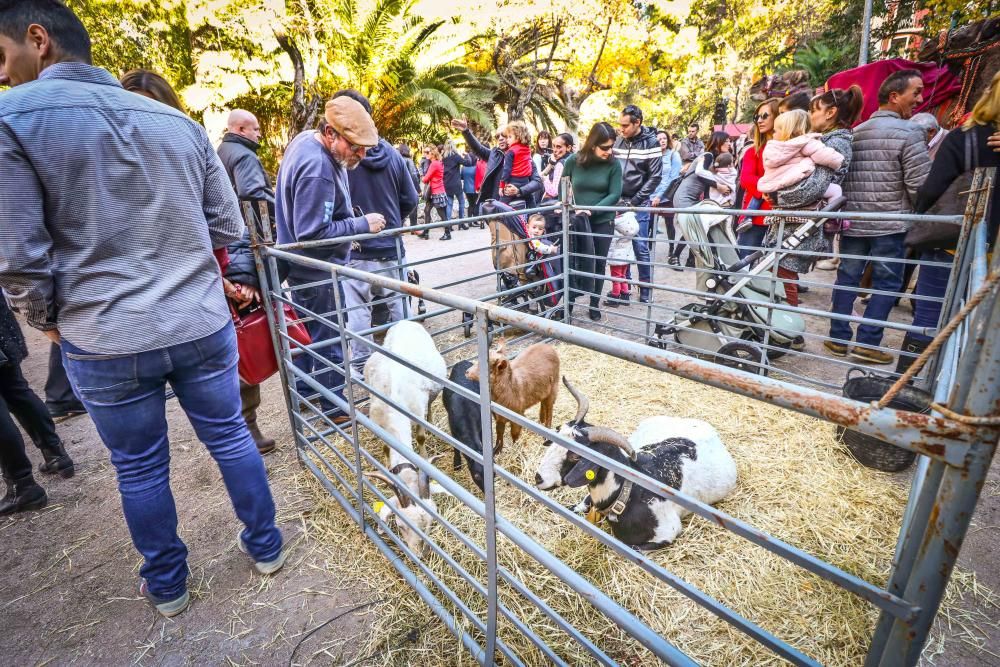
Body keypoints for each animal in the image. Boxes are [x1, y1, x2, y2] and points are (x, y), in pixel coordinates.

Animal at [364, 320, 446, 556]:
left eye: (430, 524)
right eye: (399, 526)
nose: (418, 555)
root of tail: (404, 321)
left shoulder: (417, 411)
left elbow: (420, 437)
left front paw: (423, 456)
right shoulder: (377, 422)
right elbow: (384, 448)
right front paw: (384, 465)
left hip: (432, 392)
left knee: (430, 408)